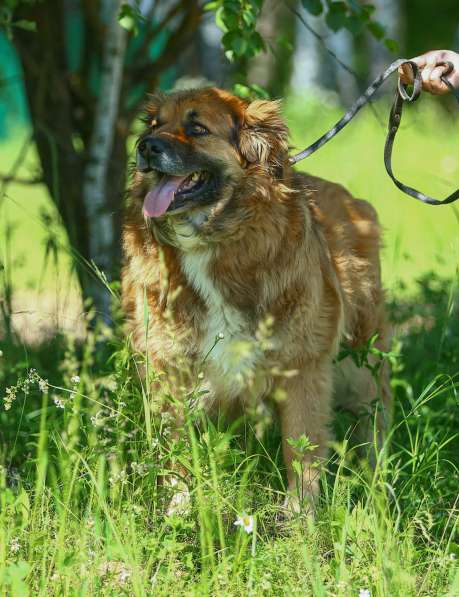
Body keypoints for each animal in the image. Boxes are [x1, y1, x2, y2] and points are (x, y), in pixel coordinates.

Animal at [121, 86, 392, 510]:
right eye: (153, 124)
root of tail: (355, 203)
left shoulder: (301, 365)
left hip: (361, 357)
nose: (145, 146)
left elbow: (300, 450)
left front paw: (300, 515)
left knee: (376, 416)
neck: (214, 238)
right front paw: (178, 509)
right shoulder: (170, 366)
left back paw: (380, 485)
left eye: (197, 128)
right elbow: (176, 451)